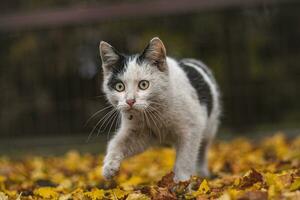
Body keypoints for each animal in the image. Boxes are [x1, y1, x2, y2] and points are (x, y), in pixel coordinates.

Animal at [98, 37, 220, 181]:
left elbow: (185, 159)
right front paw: (109, 167)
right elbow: (117, 143)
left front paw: (181, 183)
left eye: (143, 84)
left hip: (210, 125)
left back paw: (201, 172)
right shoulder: (140, 133)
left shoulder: (192, 128)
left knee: (203, 147)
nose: (130, 101)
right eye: (119, 86)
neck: (158, 113)